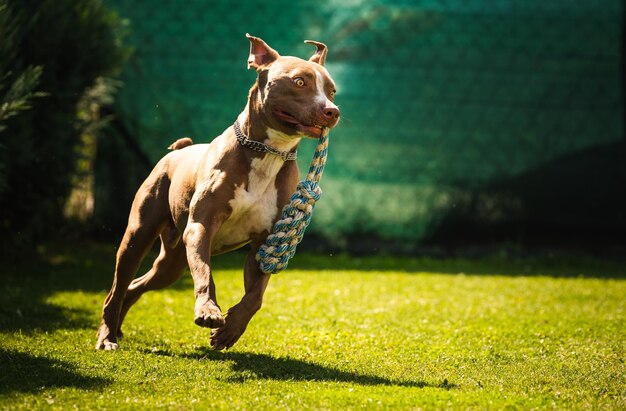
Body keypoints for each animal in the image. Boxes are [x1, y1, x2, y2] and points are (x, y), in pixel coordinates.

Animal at [97, 33, 338, 352]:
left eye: (332, 91)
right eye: (299, 81)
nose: (332, 111)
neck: (267, 152)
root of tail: (178, 151)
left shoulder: (266, 243)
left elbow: (255, 297)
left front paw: (230, 329)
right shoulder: (201, 227)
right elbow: (205, 274)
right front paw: (209, 311)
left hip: (171, 263)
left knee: (136, 285)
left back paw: (118, 329)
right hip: (137, 237)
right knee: (117, 288)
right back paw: (107, 337)